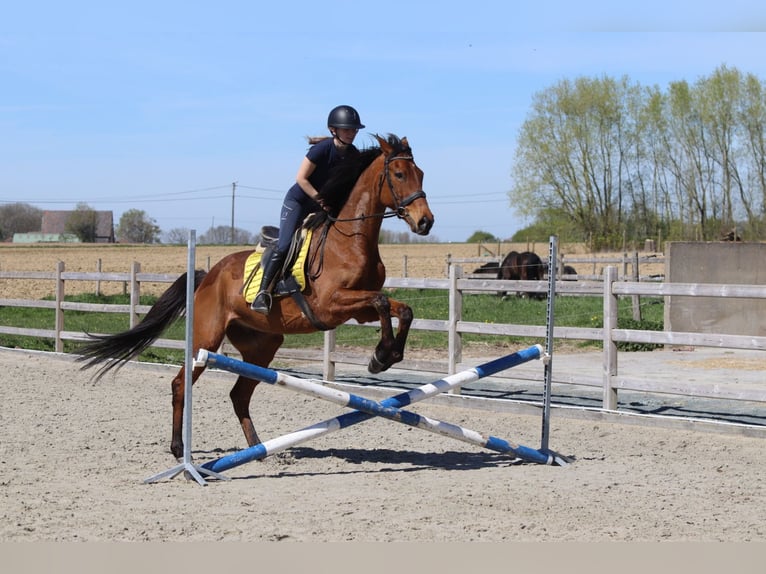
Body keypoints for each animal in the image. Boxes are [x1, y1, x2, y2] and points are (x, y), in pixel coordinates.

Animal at [76, 134, 435, 459]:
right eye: (399, 174)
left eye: (421, 173)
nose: (425, 222)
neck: (349, 240)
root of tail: (207, 276)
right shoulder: (330, 305)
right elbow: (382, 301)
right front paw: (381, 357)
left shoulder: (357, 309)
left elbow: (401, 309)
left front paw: (387, 355)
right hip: (206, 339)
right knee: (182, 384)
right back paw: (179, 450)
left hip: (262, 344)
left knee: (239, 394)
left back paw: (258, 449)